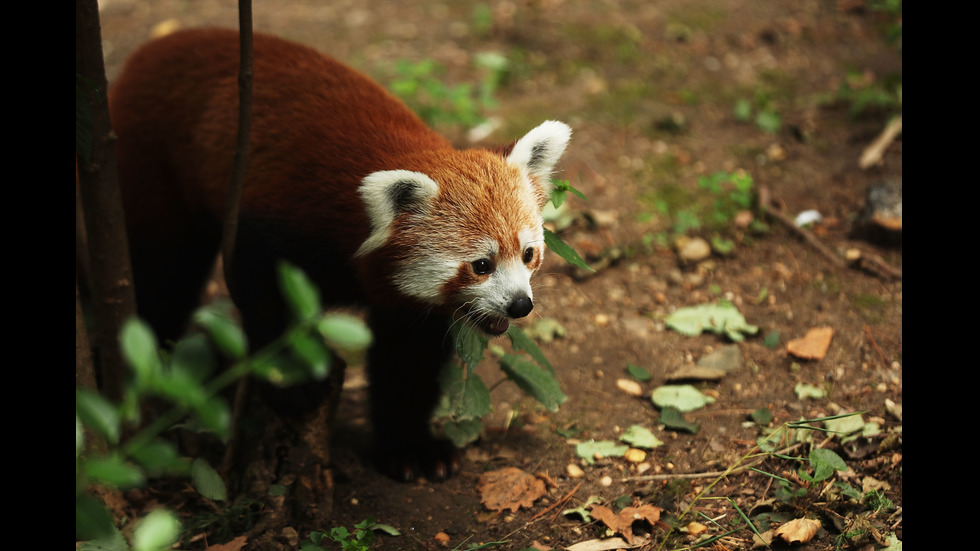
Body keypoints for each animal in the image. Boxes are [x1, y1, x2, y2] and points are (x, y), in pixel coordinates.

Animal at [110, 27, 572, 484]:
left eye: (528, 254)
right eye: (481, 265)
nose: (520, 305)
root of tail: (160, 43)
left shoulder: (407, 307)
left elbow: (407, 362)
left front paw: (410, 449)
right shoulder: (277, 221)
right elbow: (264, 296)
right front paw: (291, 377)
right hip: (153, 163)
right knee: (165, 273)